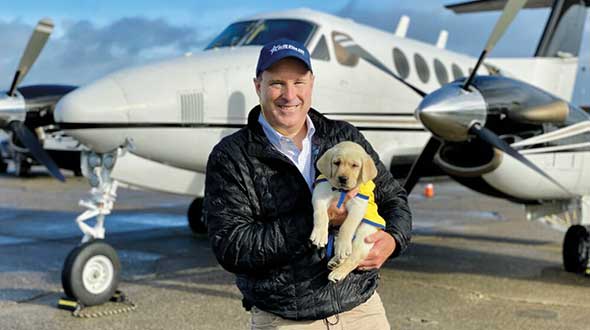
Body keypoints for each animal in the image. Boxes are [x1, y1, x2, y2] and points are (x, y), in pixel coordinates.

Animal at [310, 141, 384, 282]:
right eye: (336, 163)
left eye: (355, 166)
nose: (343, 178)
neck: (341, 191)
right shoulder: (320, 194)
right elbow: (321, 215)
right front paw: (320, 234)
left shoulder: (358, 206)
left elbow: (347, 226)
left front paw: (343, 245)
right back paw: (335, 261)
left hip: (364, 234)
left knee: (354, 257)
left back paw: (338, 272)